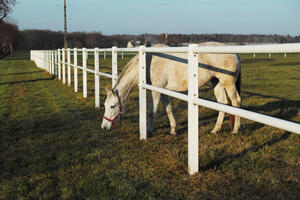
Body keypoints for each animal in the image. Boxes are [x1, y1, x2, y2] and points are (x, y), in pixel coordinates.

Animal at [102, 42, 243, 136]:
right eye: (105, 105)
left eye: (113, 106)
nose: (104, 127)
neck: (148, 62)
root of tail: (234, 52)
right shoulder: (164, 91)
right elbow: (168, 109)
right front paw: (173, 130)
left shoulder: (156, 90)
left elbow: (152, 111)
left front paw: (149, 131)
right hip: (216, 82)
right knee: (223, 103)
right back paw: (216, 129)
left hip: (228, 83)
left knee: (236, 102)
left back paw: (235, 129)